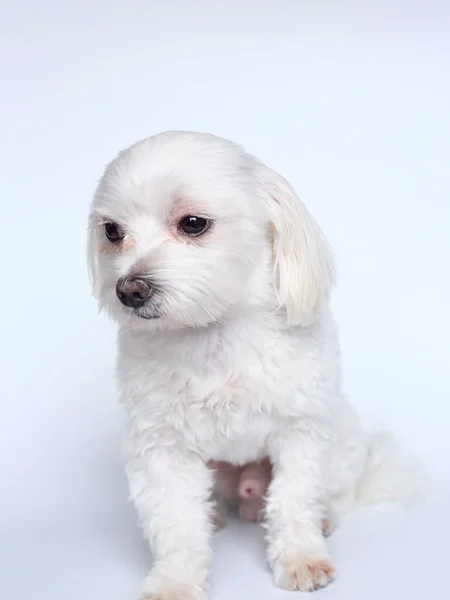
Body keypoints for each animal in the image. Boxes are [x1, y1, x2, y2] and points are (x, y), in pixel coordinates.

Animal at [87, 132, 422, 600]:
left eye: (193, 223)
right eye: (112, 231)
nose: (129, 290)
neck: (213, 333)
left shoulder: (302, 432)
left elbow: (294, 500)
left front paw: (301, 558)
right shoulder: (161, 447)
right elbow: (175, 523)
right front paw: (175, 581)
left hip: (343, 444)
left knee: (333, 492)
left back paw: (325, 516)